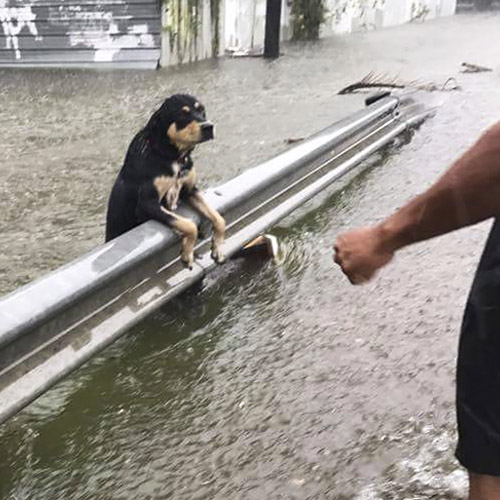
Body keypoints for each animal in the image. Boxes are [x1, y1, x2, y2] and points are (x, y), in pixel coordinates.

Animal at [105, 95, 227, 272]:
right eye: (182, 114)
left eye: (202, 111)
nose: (208, 126)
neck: (171, 155)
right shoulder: (147, 204)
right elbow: (189, 225)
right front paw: (187, 254)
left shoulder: (190, 190)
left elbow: (219, 219)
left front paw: (217, 248)